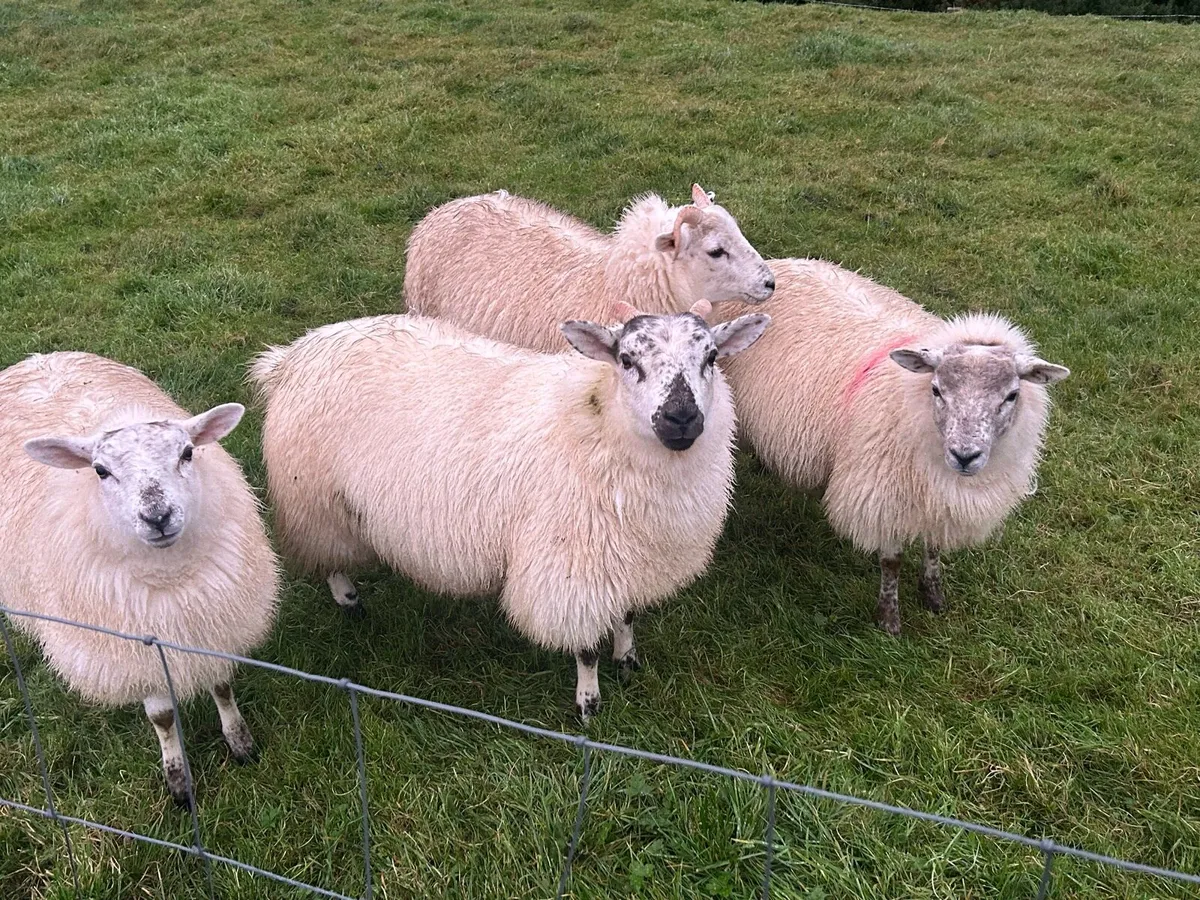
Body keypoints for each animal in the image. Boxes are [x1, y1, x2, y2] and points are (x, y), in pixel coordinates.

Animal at [0, 352, 280, 805]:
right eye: (99, 470)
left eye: (187, 452)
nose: (157, 516)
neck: (171, 580)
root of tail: (40, 358)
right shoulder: (137, 647)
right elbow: (163, 716)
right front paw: (178, 782)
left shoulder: (216, 623)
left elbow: (222, 686)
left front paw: (241, 743)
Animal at [249, 306, 770, 720]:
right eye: (626, 360)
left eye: (711, 358)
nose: (682, 418)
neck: (597, 422)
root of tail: (290, 355)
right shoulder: (571, 568)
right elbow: (586, 649)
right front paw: (589, 704)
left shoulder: (624, 559)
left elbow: (624, 617)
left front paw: (627, 660)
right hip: (314, 500)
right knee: (330, 559)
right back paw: (351, 603)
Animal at [711, 258, 1069, 633]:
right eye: (937, 389)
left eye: (1011, 395)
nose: (965, 456)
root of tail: (783, 263)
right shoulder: (881, 495)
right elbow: (891, 562)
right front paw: (889, 619)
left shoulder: (937, 499)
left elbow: (933, 548)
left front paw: (933, 595)